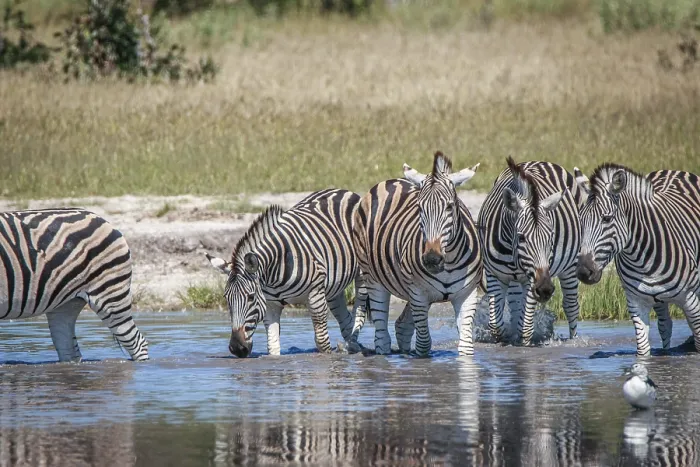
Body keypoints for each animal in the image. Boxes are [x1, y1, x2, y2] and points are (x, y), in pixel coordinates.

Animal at [206, 189, 367, 358]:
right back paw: (351, 347)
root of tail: (343, 191)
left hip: (361, 274)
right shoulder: (270, 304)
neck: (273, 273)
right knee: (346, 320)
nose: (237, 348)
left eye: (251, 297)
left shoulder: (315, 294)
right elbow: (273, 345)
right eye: (226, 298)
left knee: (359, 314)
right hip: (333, 289)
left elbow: (322, 341)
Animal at [350, 151, 482, 357]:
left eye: (450, 206)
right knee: (382, 336)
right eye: (419, 208)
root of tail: (389, 181)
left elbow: (466, 345)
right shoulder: (418, 294)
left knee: (401, 325)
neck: (449, 263)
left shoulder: (467, 294)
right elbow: (423, 344)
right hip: (373, 277)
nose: (432, 260)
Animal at [478, 157, 585, 345]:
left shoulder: (531, 279)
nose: (545, 289)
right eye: (521, 238)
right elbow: (496, 325)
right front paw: (504, 341)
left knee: (571, 305)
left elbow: (526, 328)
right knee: (515, 303)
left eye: (551, 237)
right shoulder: (493, 274)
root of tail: (540, 161)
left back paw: (573, 341)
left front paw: (523, 345)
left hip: (570, 265)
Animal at [574, 164, 700, 356]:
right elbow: (642, 349)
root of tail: (674, 171)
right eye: (580, 220)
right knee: (665, 325)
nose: (583, 272)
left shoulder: (690, 299)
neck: (642, 261)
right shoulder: (635, 303)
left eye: (607, 219)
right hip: (659, 300)